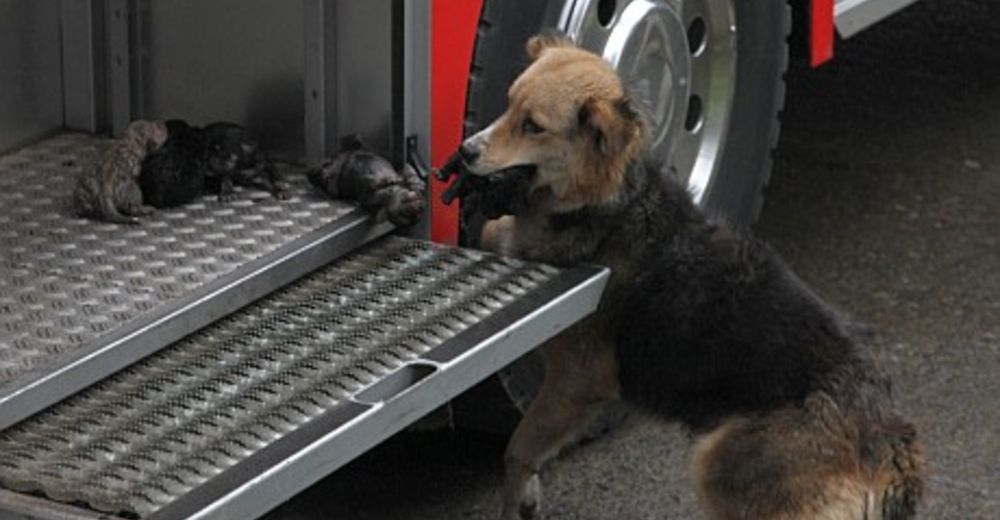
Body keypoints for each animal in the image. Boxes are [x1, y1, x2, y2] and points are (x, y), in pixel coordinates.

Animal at [442, 34, 924, 516]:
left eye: (533, 126)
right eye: (507, 105)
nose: (465, 151)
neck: (613, 201)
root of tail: (891, 446)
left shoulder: (578, 380)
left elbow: (519, 447)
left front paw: (519, 495)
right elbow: (495, 232)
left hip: (718, 460)